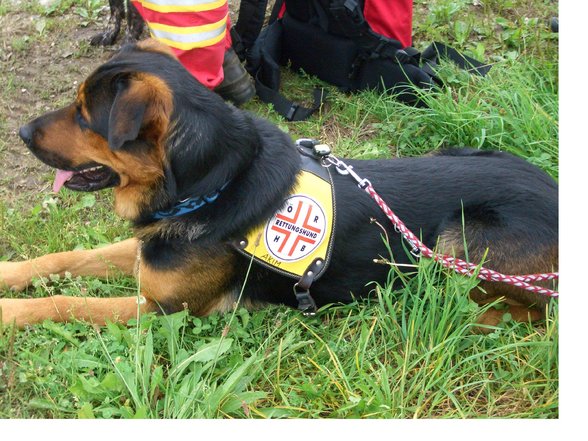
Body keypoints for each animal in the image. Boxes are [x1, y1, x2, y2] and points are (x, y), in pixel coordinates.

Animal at [0, 40, 556, 326]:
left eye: (84, 116)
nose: (21, 132)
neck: (208, 186)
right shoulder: (148, 254)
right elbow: (66, 259)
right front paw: (10, 275)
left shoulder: (164, 310)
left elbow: (63, 302)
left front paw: (8, 312)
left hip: (460, 239)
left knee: (521, 311)